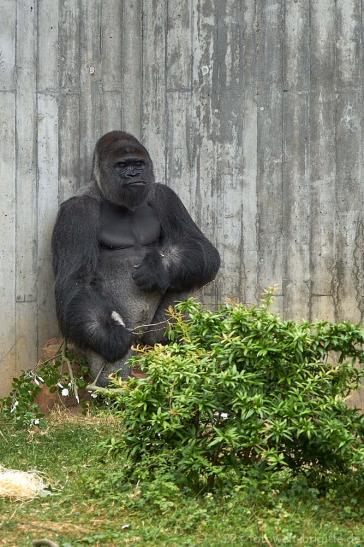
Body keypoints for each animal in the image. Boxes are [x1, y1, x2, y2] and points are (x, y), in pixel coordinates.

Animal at [52, 131, 219, 388]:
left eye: (138, 164)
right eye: (122, 166)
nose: (134, 175)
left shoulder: (164, 195)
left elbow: (201, 247)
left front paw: (158, 269)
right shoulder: (77, 211)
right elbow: (78, 279)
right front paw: (111, 337)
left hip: (151, 338)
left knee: (189, 279)